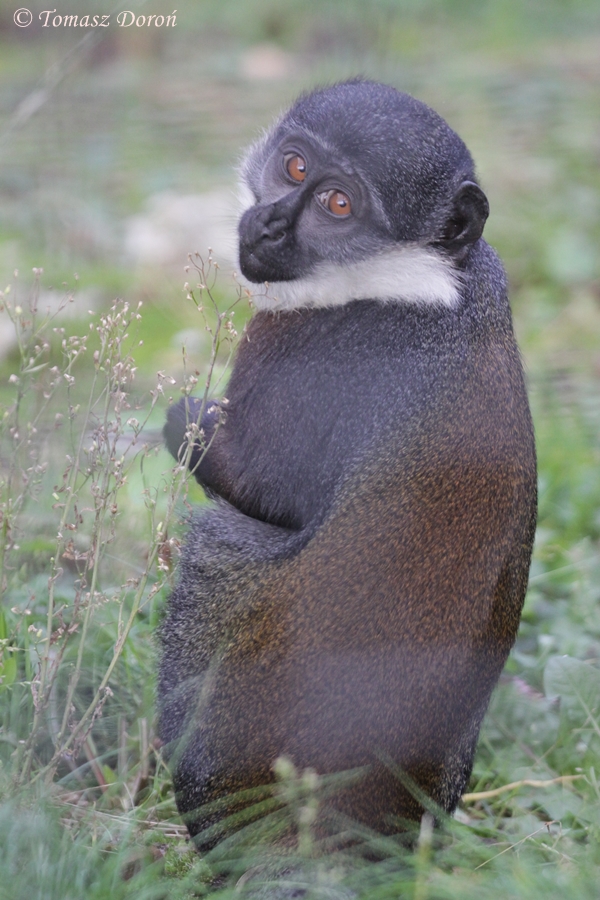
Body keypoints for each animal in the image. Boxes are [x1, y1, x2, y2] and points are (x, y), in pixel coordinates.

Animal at [158, 79, 537, 848]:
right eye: (295, 166)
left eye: (338, 205)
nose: (270, 226)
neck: (422, 276)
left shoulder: (301, 351)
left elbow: (258, 492)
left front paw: (191, 424)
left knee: (221, 540)